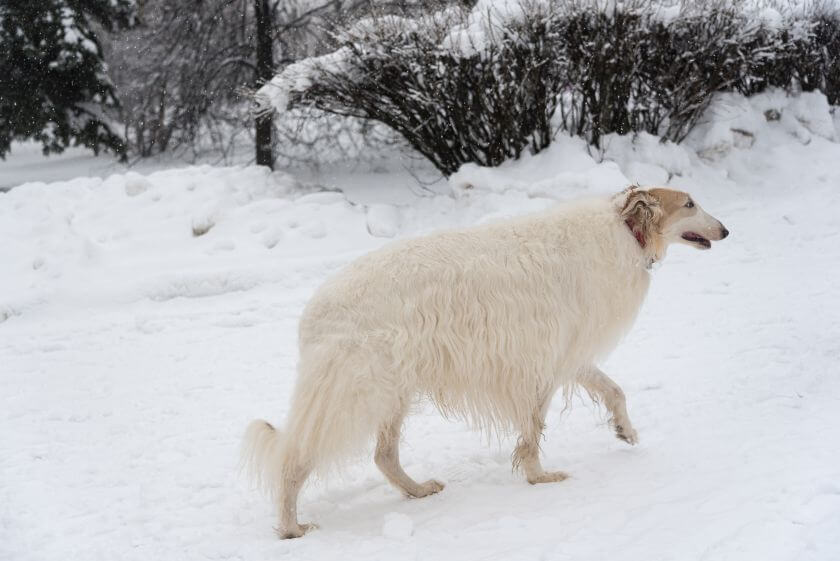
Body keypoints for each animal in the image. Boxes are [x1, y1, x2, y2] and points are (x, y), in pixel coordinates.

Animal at [241, 186, 728, 536]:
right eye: (689, 202)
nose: (725, 231)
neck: (621, 229)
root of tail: (312, 314)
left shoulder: (567, 355)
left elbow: (614, 391)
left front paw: (626, 431)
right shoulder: (543, 365)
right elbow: (532, 434)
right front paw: (540, 478)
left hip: (392, 392)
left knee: (383, 456)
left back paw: (418, 490)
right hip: (353, 394)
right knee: (295, 461)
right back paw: (290, 527)